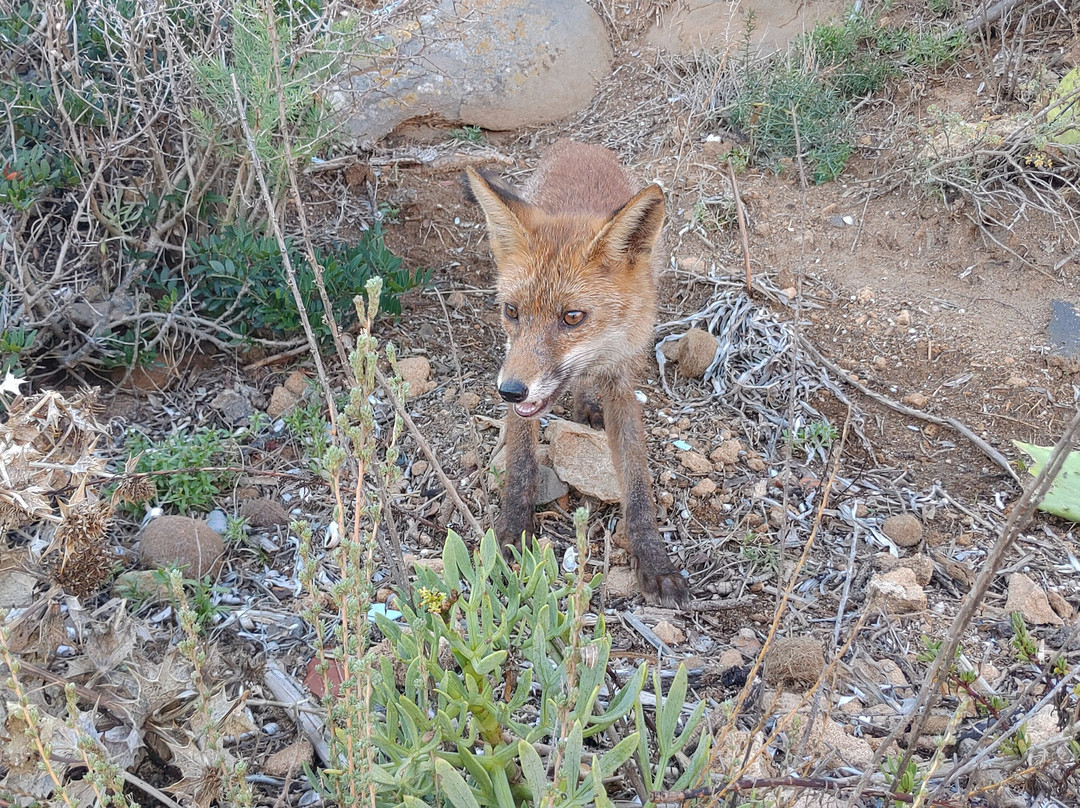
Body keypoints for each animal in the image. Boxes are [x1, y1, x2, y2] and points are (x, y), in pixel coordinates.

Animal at [466, 140, 691, 604]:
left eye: (572, 317)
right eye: (511, 311)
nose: (509, 391)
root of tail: (578, 145)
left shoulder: (623, 383)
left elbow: (638, 485)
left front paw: (655, 560)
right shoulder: (516, 374)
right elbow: (521, 466)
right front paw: (510, 532)